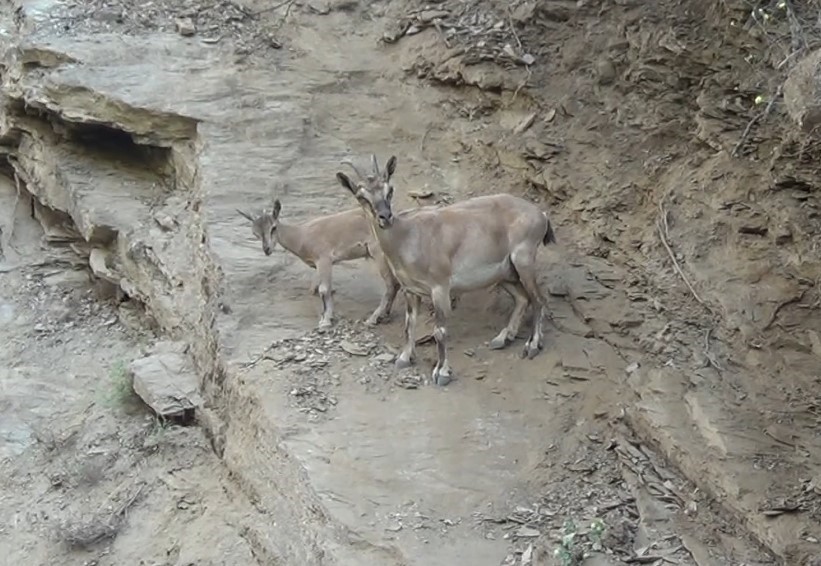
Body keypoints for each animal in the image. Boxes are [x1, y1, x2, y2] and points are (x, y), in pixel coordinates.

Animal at [237, 201, 400, 330]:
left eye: (273, 227)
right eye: (255, 233)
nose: (267, 249)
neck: (301, 236)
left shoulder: (324, 259)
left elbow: (324, 289)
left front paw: (325, 321)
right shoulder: (318, 265)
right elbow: (316, 289)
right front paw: (326, 316)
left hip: (378, 253)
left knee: (390, 285)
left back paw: (373, 319)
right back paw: (385, 315)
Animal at [334, 154, 556, 386]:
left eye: (390, 189)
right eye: (361, 196)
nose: (385, 217)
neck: (407, 237)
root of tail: (541, 214)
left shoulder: (440, 287)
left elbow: (440, 331)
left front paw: (442, 373)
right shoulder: (410, 290)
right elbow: (409, 325)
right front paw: (404, 358)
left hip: (523, 259)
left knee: (538, 300)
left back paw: (532, 345)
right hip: (505, 273)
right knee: (523, 298)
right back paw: (503, 338)